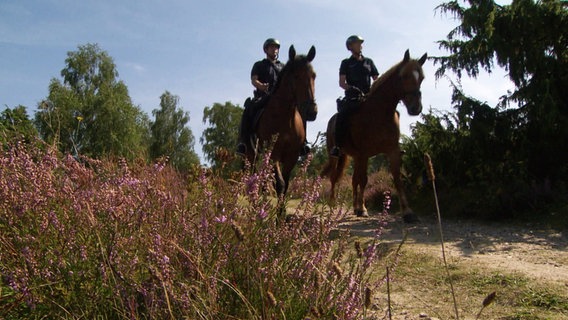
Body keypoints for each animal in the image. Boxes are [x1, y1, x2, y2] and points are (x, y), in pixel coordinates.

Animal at [243, 44, 316, 200]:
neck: (285, 119)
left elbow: (285, 185)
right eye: (296, 76)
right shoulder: (273, 153)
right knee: (255, 180)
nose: (312, 112)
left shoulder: (292, 156)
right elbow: (280, 184)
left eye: (314, 76)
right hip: (251, 156)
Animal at [324, 49, 426, 222]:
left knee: (353, 180)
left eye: (422, 77)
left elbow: (397, 179)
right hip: (336, 155)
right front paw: (363, 209)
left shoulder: (392, 151)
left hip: (355, 157)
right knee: (334, 177)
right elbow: (364, 180)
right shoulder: (364, 154)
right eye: (404, 76)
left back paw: (354, 206)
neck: (379, 114)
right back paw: (332, 203)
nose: (416, 108)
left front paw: (408, 212)